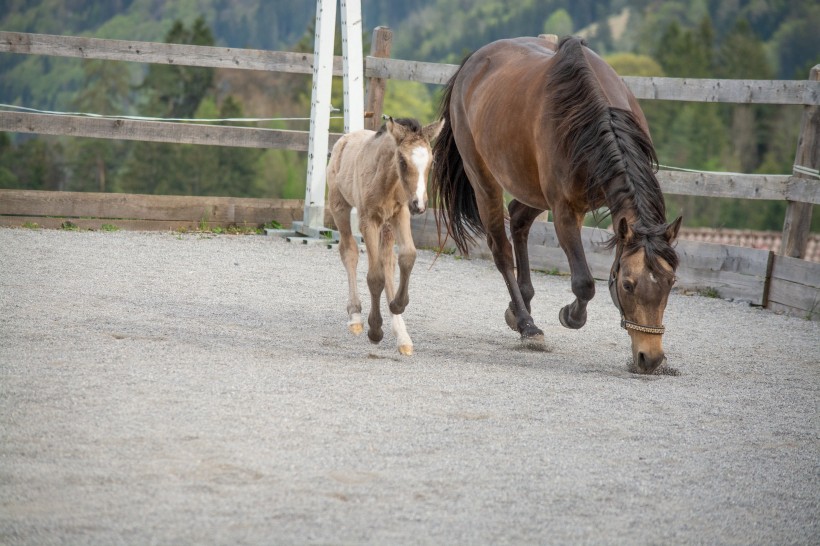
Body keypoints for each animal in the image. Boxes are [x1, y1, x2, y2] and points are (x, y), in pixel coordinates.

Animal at [326, 117, 442, 354]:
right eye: (402, 160)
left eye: (432, 161)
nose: (420, 204)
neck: (387, 180)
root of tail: (345, 138)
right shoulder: (368, 220)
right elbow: (375, 276)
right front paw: (375, 330)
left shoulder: (401, 213)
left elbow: (407, 256)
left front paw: (398, 305)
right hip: (339, 206)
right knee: (349, 251)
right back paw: (355, 316)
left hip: (387, 226)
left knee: (388, 261)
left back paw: (401, 333)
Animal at [432, 36, 684, 372]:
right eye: (628, 285)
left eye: (670, 283)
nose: (650, 358)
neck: (591, 117)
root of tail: (473, 62)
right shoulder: (565, 210)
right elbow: (584, 283)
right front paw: (570, 315)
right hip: (484, 180)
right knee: (501, 249)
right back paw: (527, 324)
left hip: (533, 189)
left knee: (519, 220)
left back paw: (519, 306)